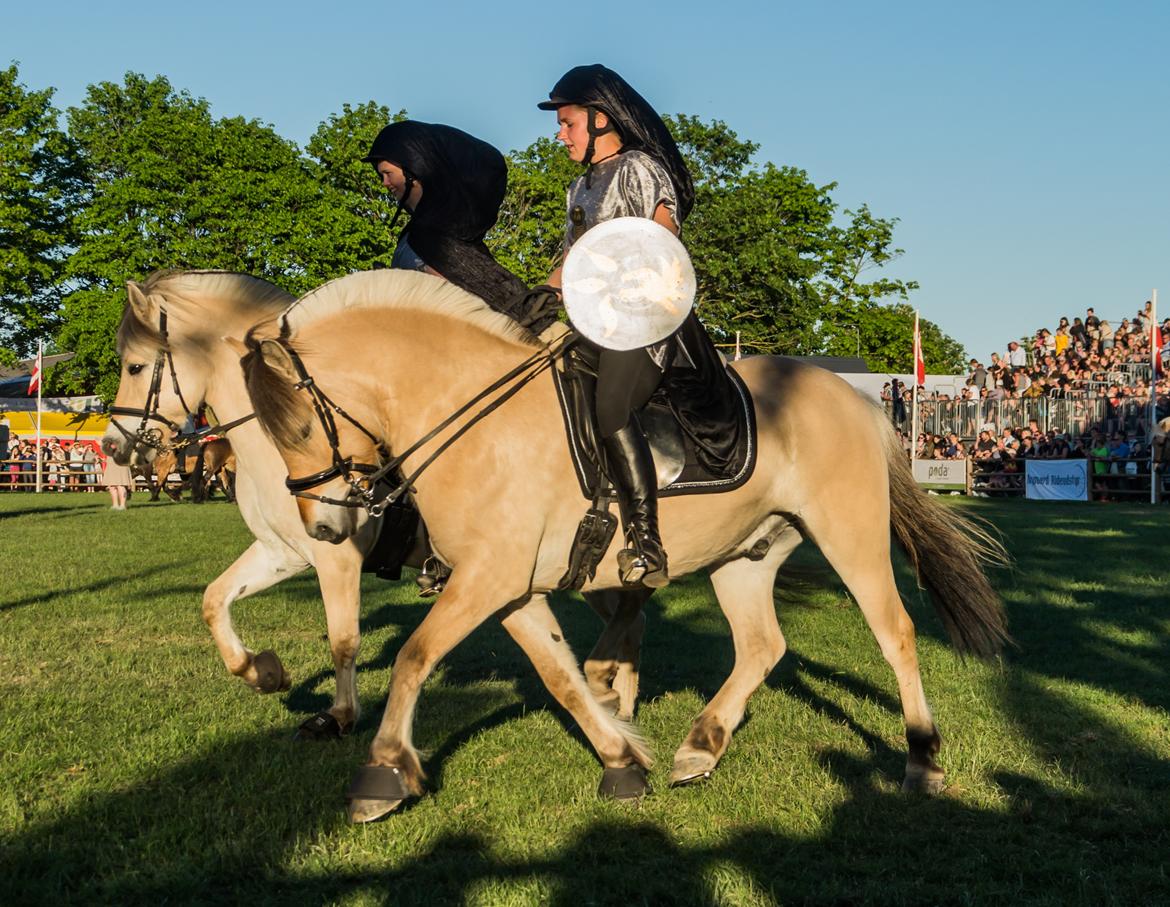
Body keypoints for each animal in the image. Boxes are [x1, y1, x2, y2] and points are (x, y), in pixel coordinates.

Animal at [242, 268, 1010, 823]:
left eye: (298, 424)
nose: (323, 528)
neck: (470, 417)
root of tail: (860, 399)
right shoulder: (506, 587)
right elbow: (562, 677)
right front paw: (620, 759)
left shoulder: (487, 579)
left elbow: (413, 656)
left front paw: (381, 772)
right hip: (744, 556)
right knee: (762, 645)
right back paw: (700, 746)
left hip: (851, 537)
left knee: (895, 632)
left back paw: (922, 757)